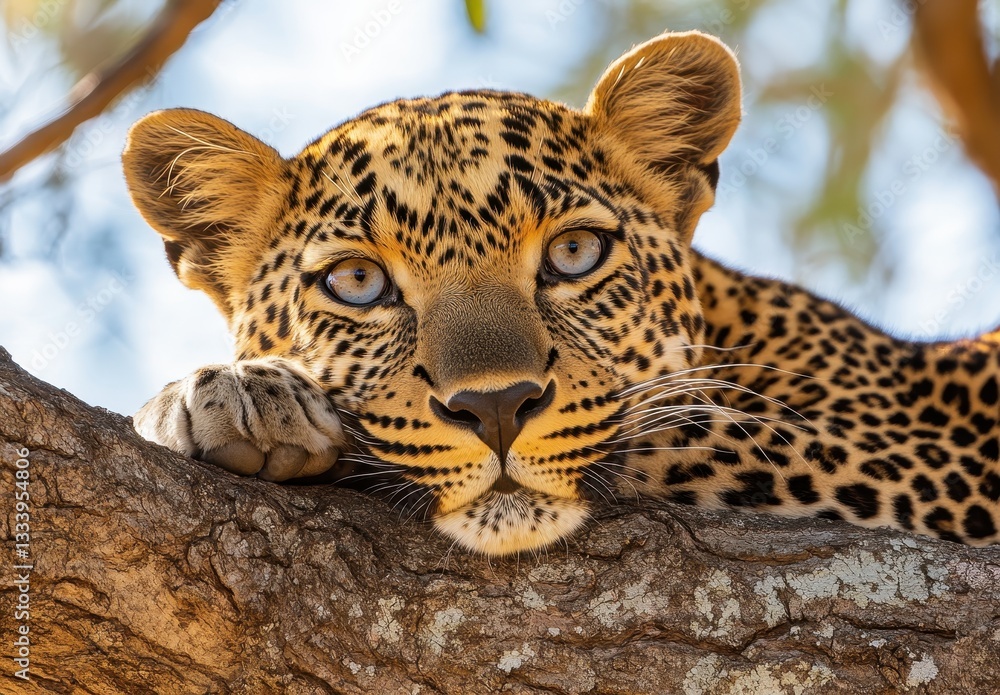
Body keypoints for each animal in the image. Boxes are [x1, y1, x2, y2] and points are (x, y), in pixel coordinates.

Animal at [123, 30, 1000, 556]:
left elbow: (667, 425)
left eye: (574, 254)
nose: (497, 408)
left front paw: (238, 400)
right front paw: (228, 393)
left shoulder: (924, 467)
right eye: (358, 283)